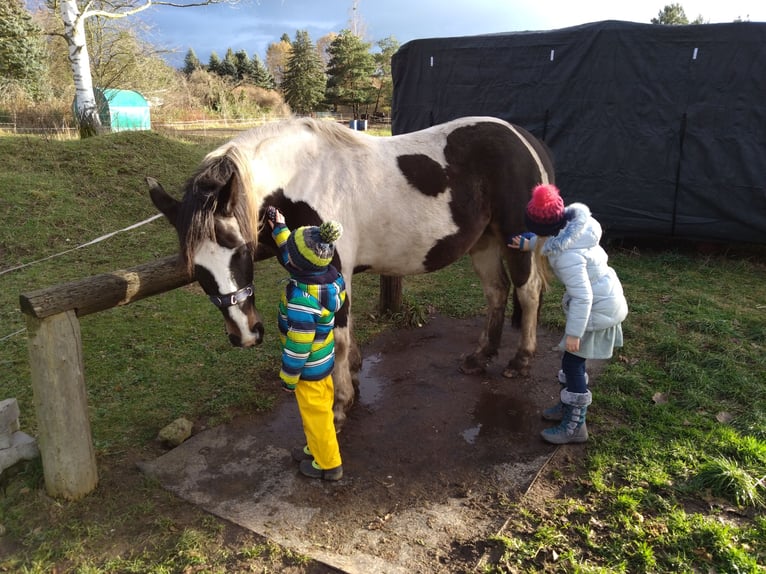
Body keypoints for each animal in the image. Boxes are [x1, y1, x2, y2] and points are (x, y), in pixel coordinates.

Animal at [148, 117, 552, 432]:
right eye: (194, 269)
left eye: (241, 249)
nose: (245, 334)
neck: (304, 176)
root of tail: (525, 139)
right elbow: (345, 333)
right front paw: (354, 380)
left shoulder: (333, 269)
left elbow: (338, 337)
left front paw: (341, 405)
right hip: (483, 241)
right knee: (497, 292)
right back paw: (481, 356)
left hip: (515, 240)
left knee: (528, 290)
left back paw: (520, 361)